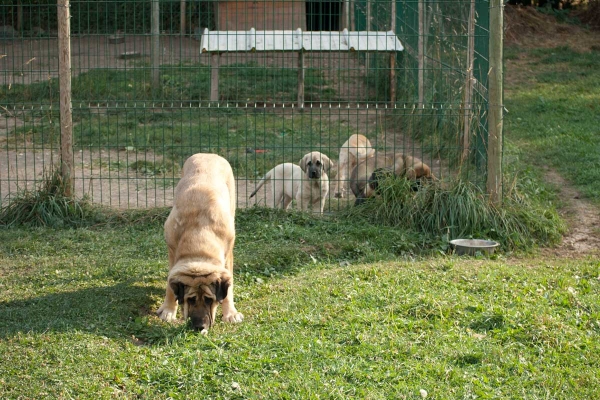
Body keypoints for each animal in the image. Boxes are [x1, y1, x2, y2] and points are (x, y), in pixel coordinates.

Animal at [158, 152, 245, 332]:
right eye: (190, 299)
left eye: (209, 299)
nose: (199, 326)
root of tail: (209, 154)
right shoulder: (172, 252)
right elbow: (170, 285)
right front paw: (169, 310)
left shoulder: (227, 255)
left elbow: (229, 289)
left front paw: (230, 313)